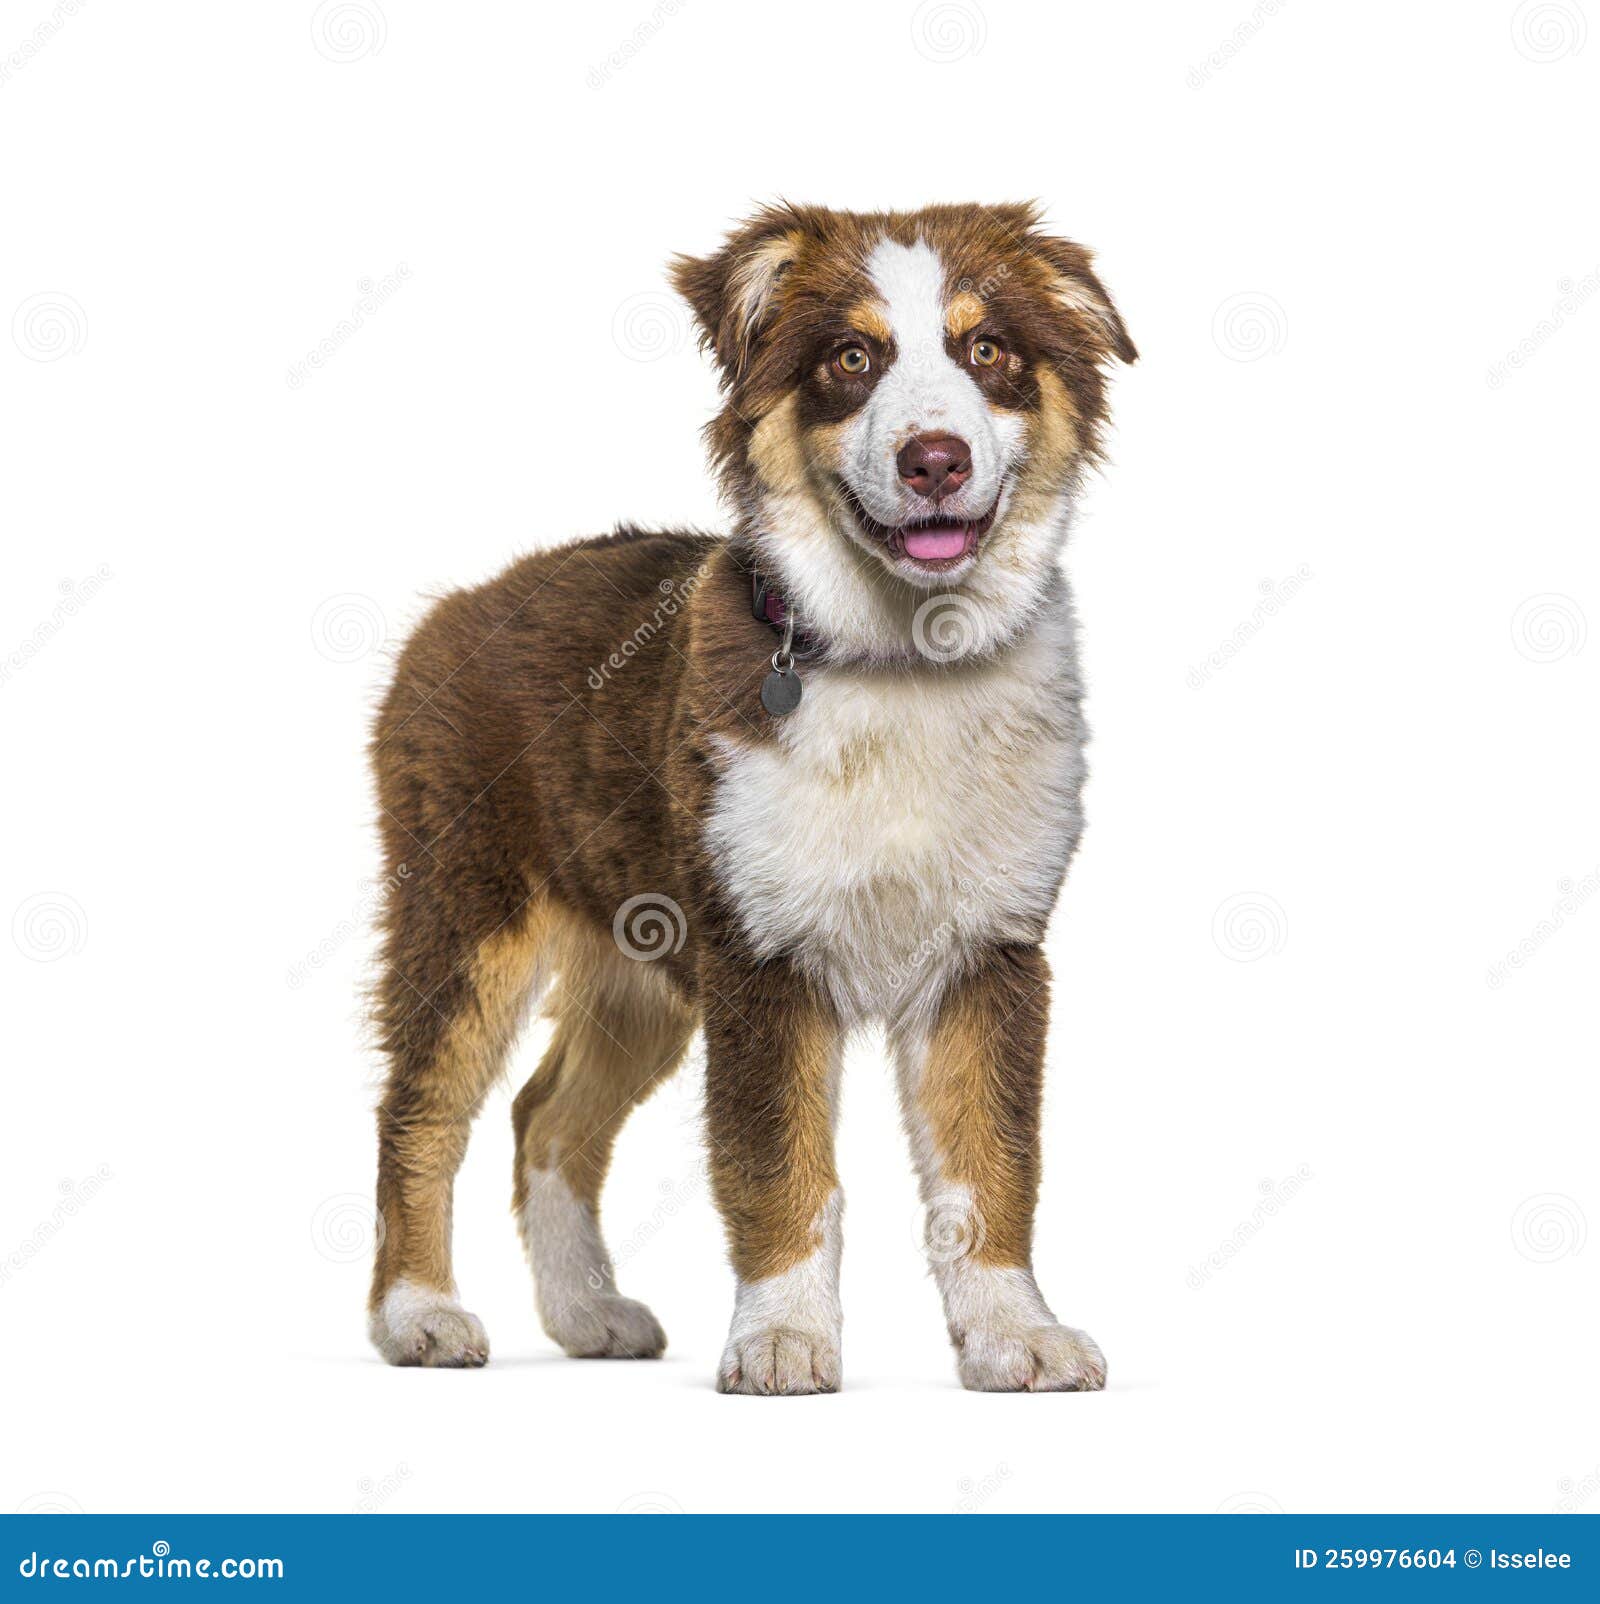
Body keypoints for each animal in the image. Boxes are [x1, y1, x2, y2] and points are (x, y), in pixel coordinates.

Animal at [363, 203, 1141, 1392]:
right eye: (851, 359)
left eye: (988, 350)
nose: (934, 461)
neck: (903, 666)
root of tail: (456, 604)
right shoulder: (761, 958)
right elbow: (779, 1164)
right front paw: (782, 1339)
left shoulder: (988, 953)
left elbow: (990, 1163)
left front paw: (1015, 1333)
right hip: (463, 911)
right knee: (420, 1111)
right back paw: (418, 1315)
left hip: (640, 954)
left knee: (547, 1116)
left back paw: (587, 1311)